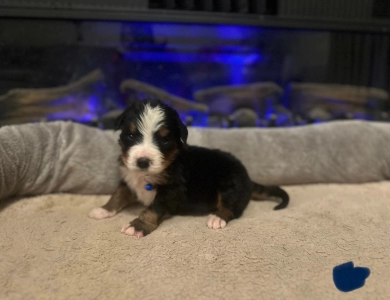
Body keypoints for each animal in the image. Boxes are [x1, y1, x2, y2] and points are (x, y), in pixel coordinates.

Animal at [89, 99, 290, 238]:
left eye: (164, 139)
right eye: (130, 135)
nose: (143, 161)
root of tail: (248, 178)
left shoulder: (171, 190)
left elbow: (152, 209)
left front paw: (137, 226)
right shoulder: (127, 179)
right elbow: (118, 195)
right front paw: (104, 209)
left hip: (230, 184)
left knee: (232, 208)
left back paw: (217, 218)